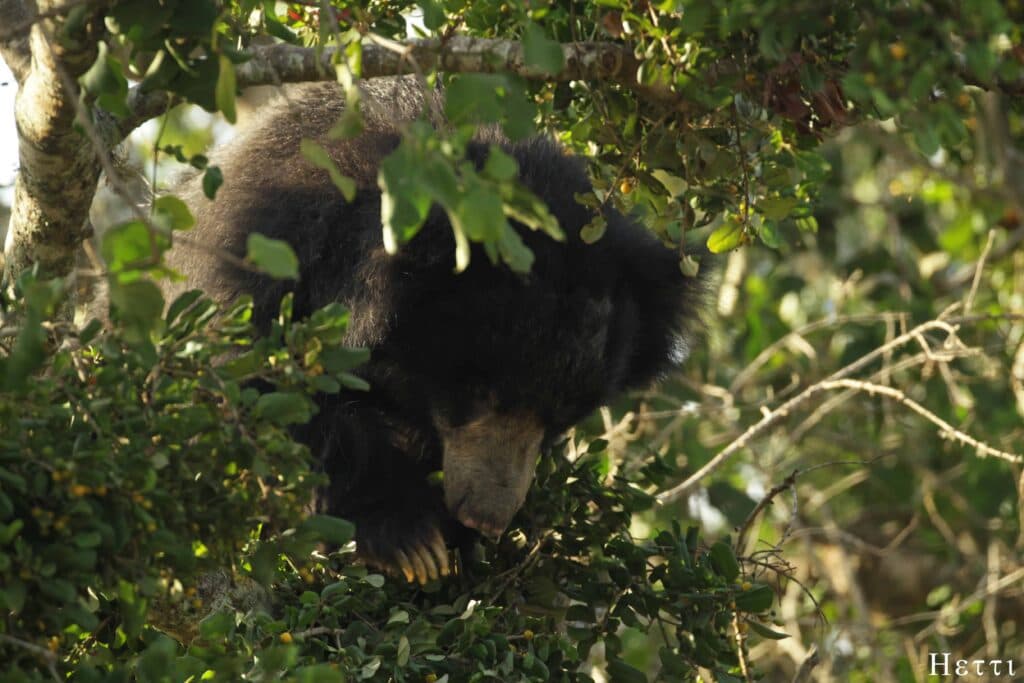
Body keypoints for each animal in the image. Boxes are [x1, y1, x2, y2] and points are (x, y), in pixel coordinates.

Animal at [162, 78, 707, 584]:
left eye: (559, 419)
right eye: (480, 392)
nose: (485, 518)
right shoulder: (265, 247)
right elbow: (268, 392)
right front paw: (408, 541)